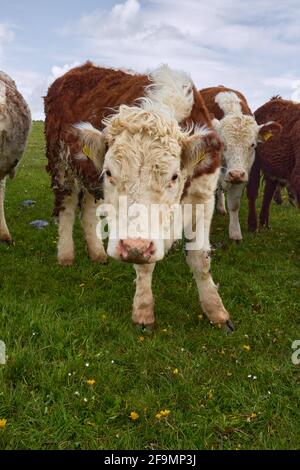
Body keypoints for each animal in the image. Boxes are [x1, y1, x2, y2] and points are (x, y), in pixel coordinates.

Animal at [44, 62, 233, 330]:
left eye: (174, 176)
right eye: (109, 172)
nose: (134, 246)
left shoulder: (204, 199)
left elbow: (201, 259)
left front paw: (216, 311)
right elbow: (145, 266)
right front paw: (143, 312)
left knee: (88, 210)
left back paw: (97, 253)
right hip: (62, 166)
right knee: (67, 210)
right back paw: (65, 255)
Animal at [199, 86, 282, 242]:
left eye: (253, 145)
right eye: (223, 145)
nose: (236, 174)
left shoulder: (244, 173)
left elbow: (234, 204)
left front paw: (235, 233)